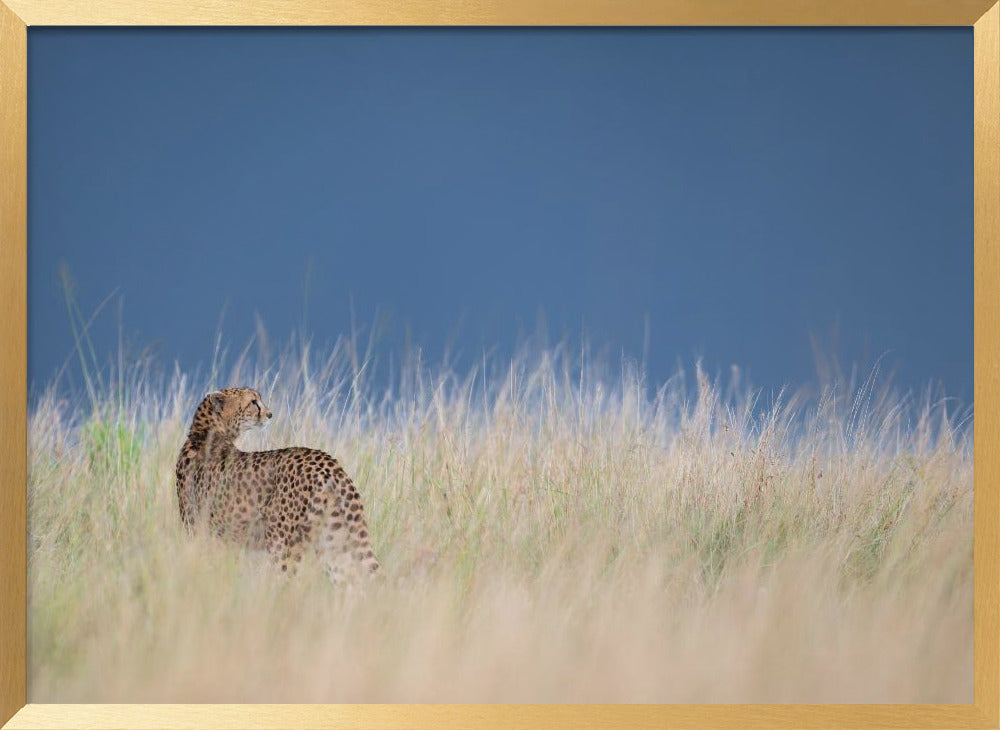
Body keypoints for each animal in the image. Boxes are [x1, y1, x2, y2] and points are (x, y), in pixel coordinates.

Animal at [174, 386, 379, 583]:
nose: (270, 414)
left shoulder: (205, 534)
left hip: (282, 543)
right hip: (335, 541)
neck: (204, 433)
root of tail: (326, 461)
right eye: (253, 402)